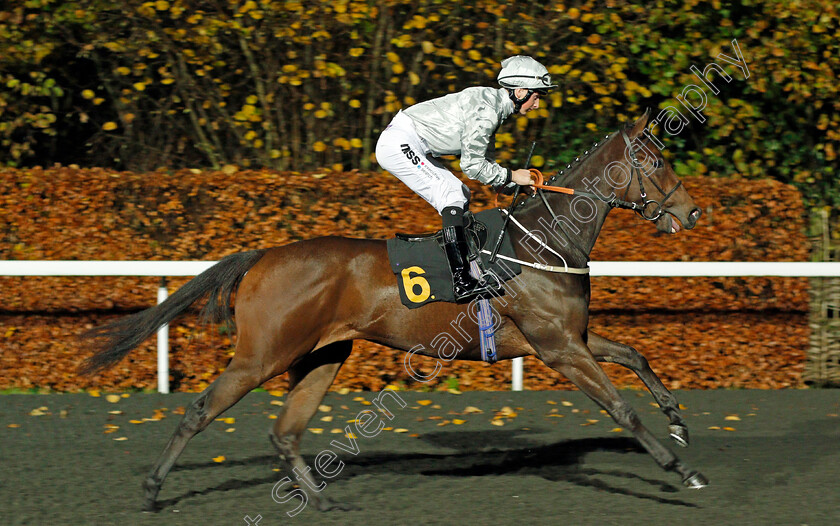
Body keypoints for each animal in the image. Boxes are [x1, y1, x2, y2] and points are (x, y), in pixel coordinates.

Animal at [80, 110, 708, 512]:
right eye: (655, 160)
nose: (694, 212)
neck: (542, 241)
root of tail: (265, 254)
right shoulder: (557, 348)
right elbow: (622, 410)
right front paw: (683, 470)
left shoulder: (570, 337)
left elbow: (636, 355)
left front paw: (678, 420)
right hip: (263, 354)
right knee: (200, 410)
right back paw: (152, 490)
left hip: (324, 355)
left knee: (285, 432)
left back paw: (319, 499)